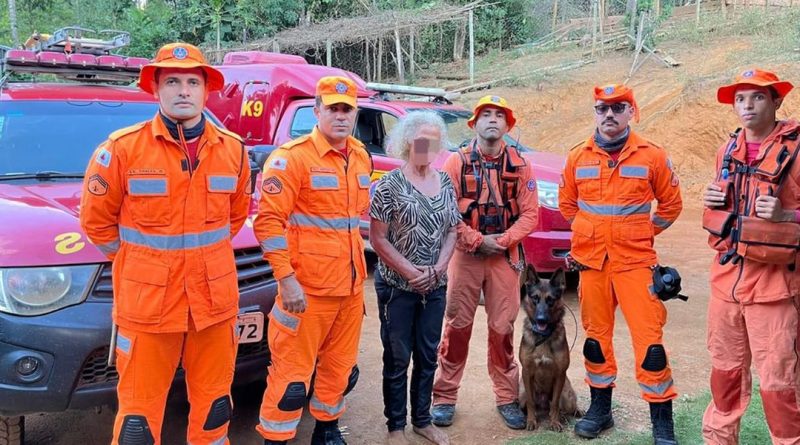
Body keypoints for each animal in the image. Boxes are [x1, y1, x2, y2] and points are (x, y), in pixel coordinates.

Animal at [520, 266, 580, 428]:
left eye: (551, 300)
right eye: (535, 298)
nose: (541, 319)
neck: (543, 337)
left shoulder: (560, 374)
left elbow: (555, 403)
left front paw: (554, 422)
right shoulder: (526, 372)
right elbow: (530, 402)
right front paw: (531, 420)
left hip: (567, 394)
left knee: (566, 406)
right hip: (521, 393)